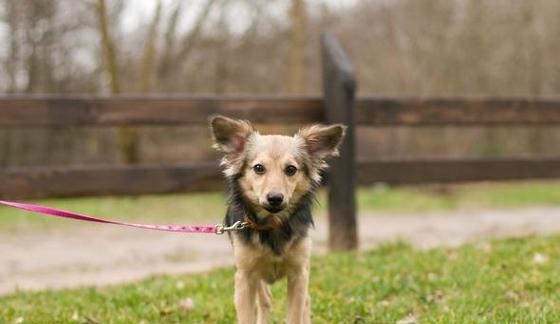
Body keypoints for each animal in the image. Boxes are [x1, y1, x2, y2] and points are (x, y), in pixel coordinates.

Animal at [208, 115, 344, 322]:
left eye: (291, 169)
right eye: (258, 168)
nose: (275, 198)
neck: (271, 224)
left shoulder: (299, 274)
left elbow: (296, 314)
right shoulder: (245, 276)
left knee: (306, 302)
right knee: (265, 300)